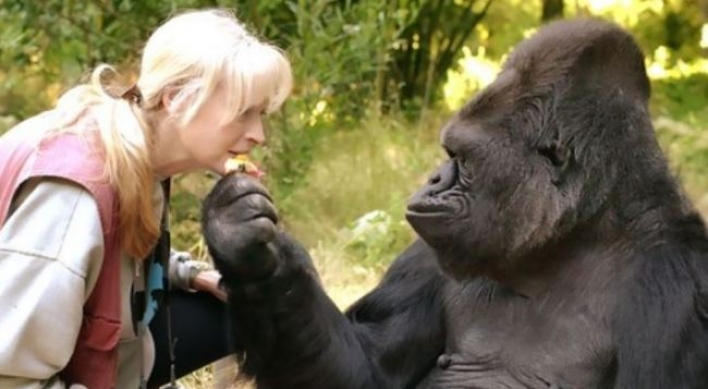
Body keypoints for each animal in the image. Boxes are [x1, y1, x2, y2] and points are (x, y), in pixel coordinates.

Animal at [202, 18, 708, 388]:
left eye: (461, 158)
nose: (432, 179)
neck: (573, 238)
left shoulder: (678, 293)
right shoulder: (431, 253)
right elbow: (368, 371)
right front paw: (248, 249)